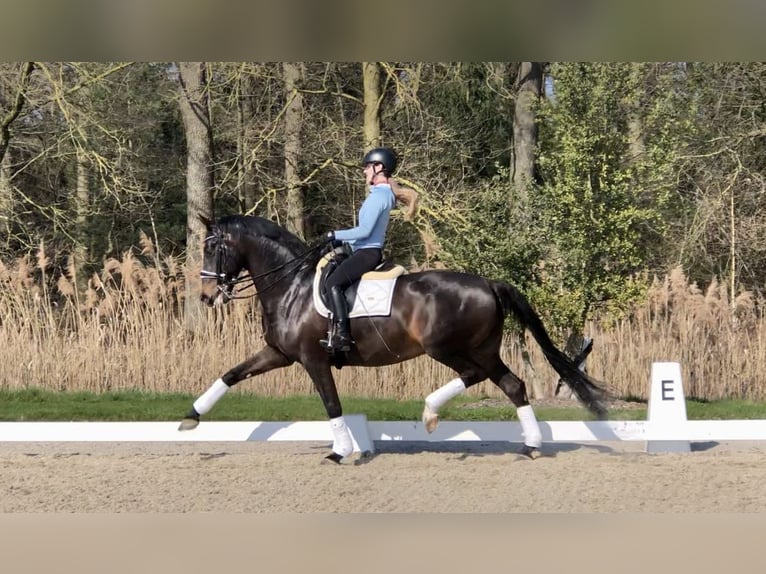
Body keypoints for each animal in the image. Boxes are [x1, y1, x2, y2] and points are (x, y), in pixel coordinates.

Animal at [178, 214, 609, 462]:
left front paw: (342, 452)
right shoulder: (279, 353)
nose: (207, 296)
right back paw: (530, 445)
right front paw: (191, 417)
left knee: (478, 377)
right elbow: (231, 374)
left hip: (446, 347)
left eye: (214, 247)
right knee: (513, 385)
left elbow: (331, 404)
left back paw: (431, 413)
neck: (291, 286)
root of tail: (489, 282)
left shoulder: (313, 360)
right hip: (482, 349)